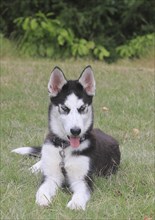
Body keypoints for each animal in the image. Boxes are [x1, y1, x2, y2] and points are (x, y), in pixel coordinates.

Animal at [12, 66, 121, 211]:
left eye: (82, 108)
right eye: (64, 108)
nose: (75, 131)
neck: (65, 148)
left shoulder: (83, 180)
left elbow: (80, 193)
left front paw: (76, 204)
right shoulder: (51, 177)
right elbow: (42, 189)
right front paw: (42, 200)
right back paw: (34, 168)